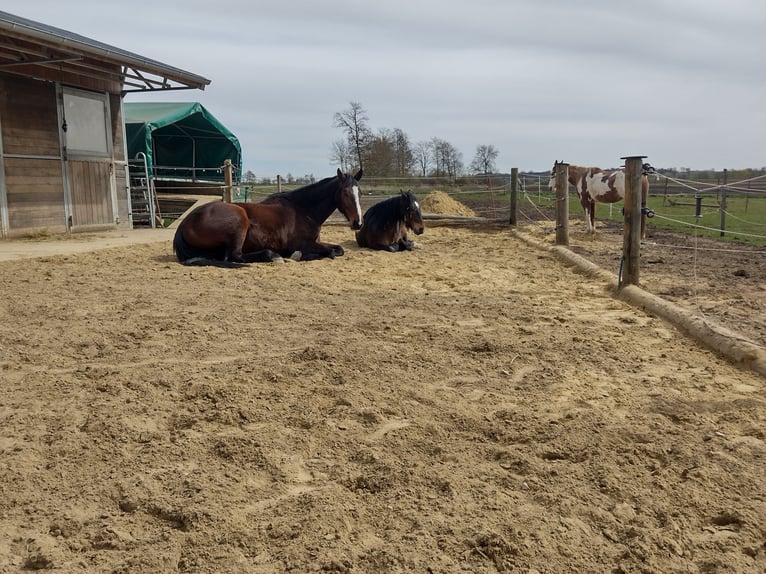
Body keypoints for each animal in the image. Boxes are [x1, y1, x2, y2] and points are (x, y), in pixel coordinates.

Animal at [173, 168, 363, 266]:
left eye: (359, 192)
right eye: (345, 193)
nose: (358, 223)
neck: (303, 210)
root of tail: (185, 223)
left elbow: (338, 249)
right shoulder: (301, 243)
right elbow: (330, 252)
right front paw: (296, 255)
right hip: (239, 221)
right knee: (235, 257)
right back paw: (272, 256)